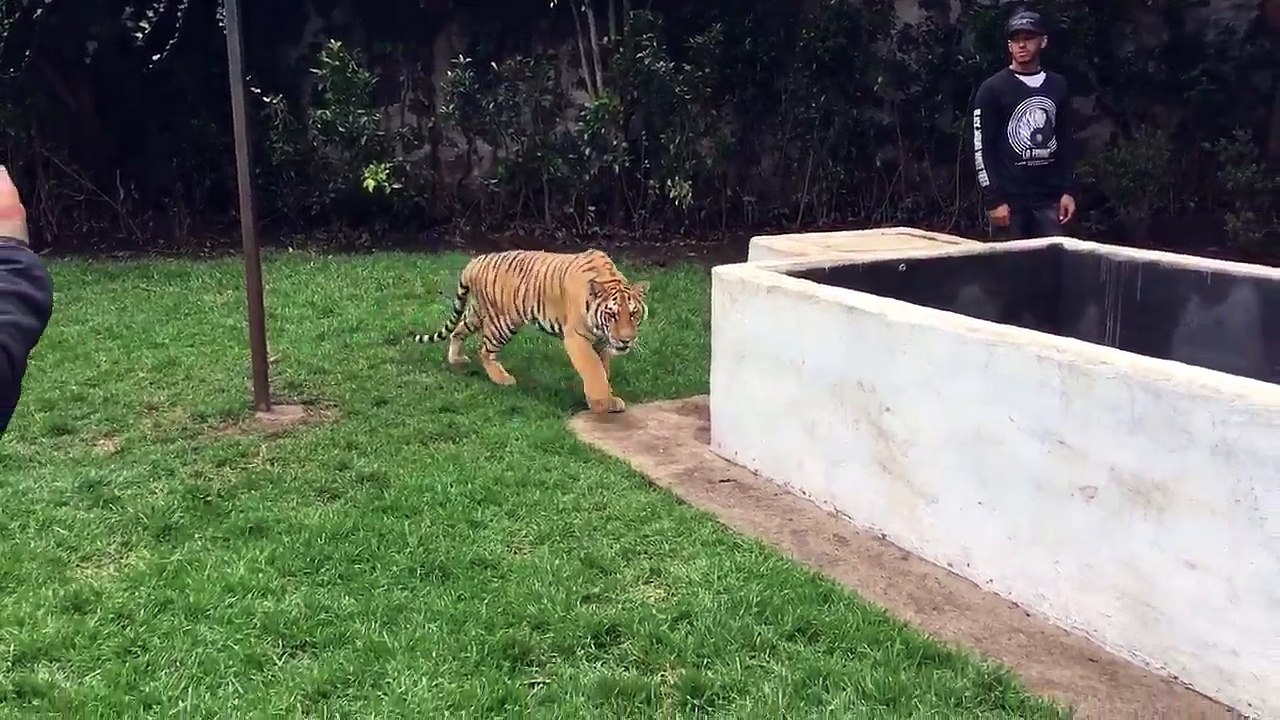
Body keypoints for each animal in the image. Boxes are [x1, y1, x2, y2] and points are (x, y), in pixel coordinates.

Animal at [413, 248, 650, 414]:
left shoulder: (601, 342)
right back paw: (503, 379)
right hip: (503, 322)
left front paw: (606, 399)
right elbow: (593, 370)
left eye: (633, 314)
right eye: (612, 315)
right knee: (485, 350)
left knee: (458, 330)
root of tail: (476, 261)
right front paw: (601, 403)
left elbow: (603, 370)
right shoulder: (577, 338)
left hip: (477, 312)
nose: (626, 340)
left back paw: (456, 359)